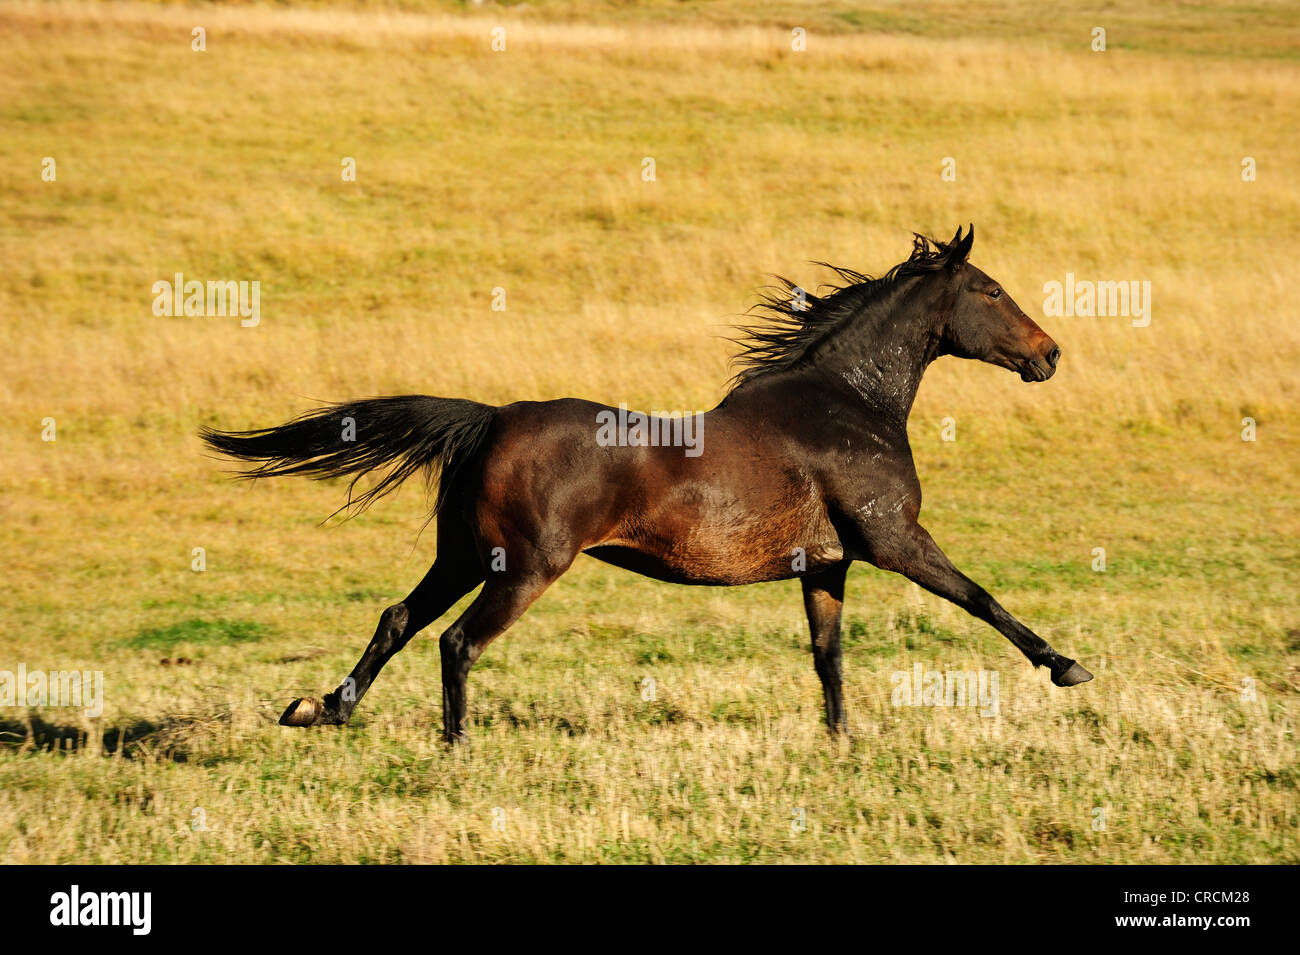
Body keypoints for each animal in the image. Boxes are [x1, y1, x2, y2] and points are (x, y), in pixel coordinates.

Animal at [200, 225, 1092, 742]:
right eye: (990, 289)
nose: (1049, 354)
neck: (849, 402)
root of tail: (491, 418)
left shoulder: (828, 564)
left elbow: (828, 654)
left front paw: (841, 740)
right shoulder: (894, 538)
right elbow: (981, 597)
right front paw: (1067, 666)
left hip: (464, 555)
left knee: (396, 620)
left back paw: (322, 709)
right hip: (525, 566)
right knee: (457, 642)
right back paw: (455, 746)